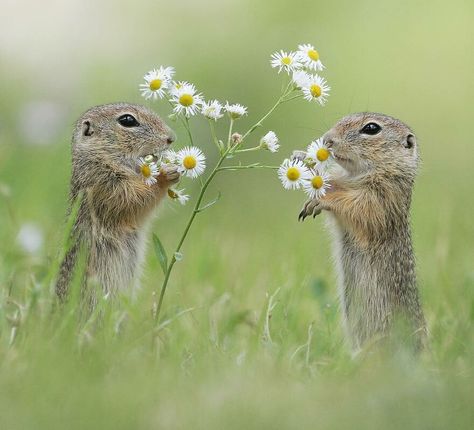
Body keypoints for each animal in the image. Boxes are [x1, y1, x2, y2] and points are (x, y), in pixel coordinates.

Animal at [56, 102, 179, 300]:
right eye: (127, 120)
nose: (170, 138)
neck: (100, 156)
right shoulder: (104, 185)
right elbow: (133, 200)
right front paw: (165, 175)